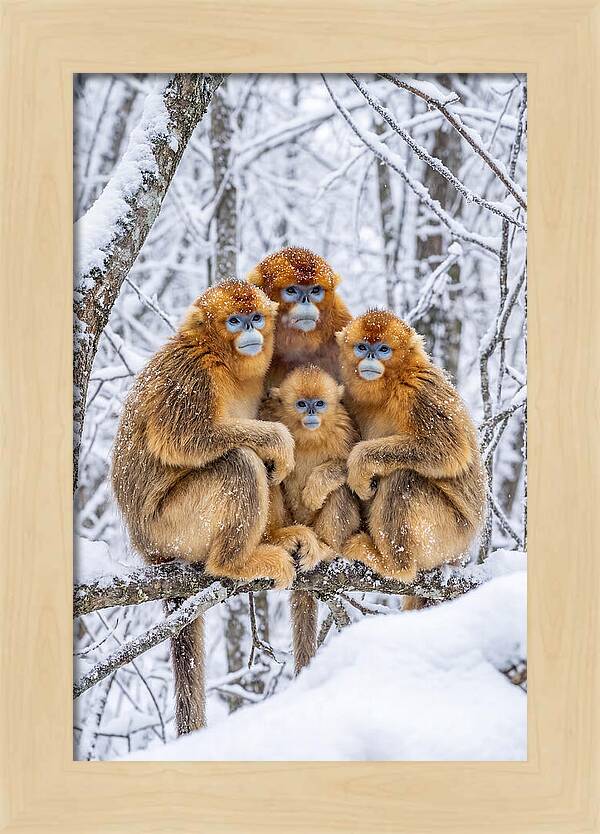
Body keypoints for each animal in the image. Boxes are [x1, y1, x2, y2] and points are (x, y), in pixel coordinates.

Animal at [111, 280, 318, 734]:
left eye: (255, 317)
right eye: (235, 321)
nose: (251, 331)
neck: (222, 359)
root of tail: (147, 548)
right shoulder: (191, 373)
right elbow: (184, 439)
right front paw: (277, 439)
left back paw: (277, 537)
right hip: (172, 527)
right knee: (239, 461)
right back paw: (235, 562)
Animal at [265, 365, 361, 673]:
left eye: (319, 403)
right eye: (300, 403)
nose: (310, 412)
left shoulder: (345, 428)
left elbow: (353, 469)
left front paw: (315, 488)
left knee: (341, 490)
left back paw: (327, 548)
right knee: (269, 476)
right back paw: (279, 538)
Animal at [336, 310, 486, 607]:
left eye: (383, 349)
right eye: (362, 347)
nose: (371, 356)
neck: (390, 386)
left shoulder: (419, 389)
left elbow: (449, 450)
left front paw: (360, 463)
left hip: (449, 536)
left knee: (403, 478)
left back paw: (394, 565)